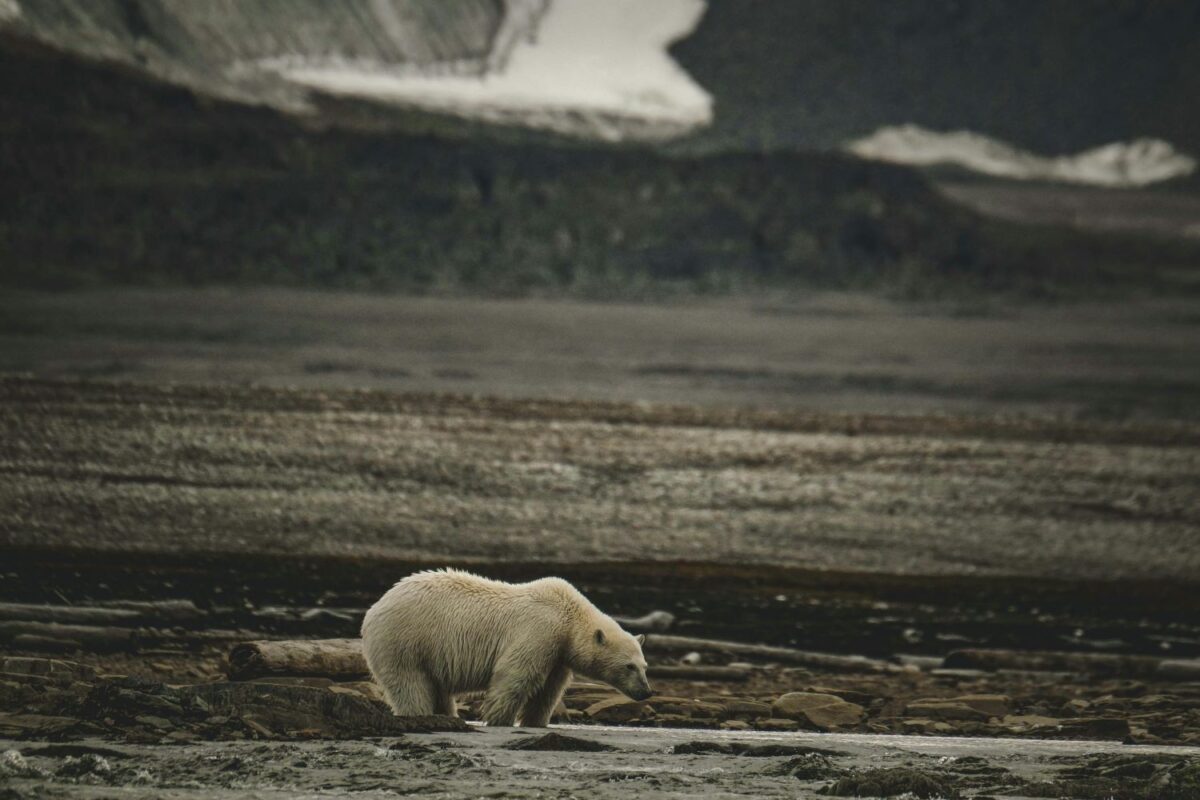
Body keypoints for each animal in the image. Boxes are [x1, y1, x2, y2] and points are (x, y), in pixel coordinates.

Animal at [360, 566, 652, 729]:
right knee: (410, 683)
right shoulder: (539, 631)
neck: (569, 617)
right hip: (405, 640)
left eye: (644, 666)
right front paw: (499, 719)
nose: (646, 691)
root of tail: (376, 607)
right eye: (629, 666)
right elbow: (515, 675)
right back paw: (421, 715)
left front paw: (536, 721)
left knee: (437, 688)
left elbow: (549, 689)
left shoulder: (558, 654)